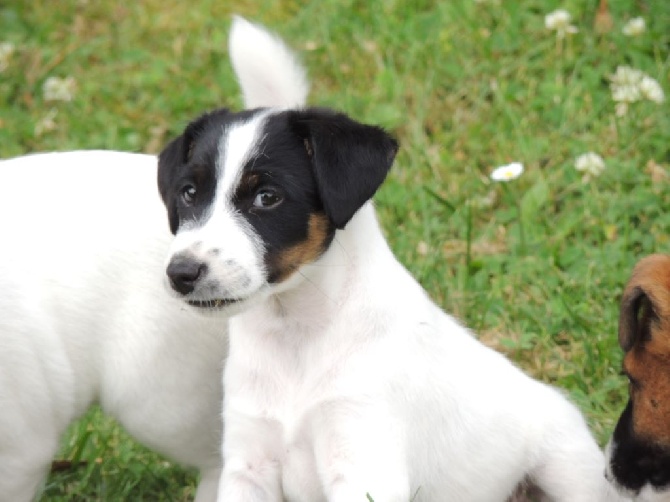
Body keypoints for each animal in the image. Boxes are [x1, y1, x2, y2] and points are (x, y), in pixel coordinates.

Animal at [160, 16, 632, 502]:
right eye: (188, 193)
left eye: (267, 197)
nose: (181, 273)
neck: (296, 336)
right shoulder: (249, 463)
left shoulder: (364, 460)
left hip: (567, 468)